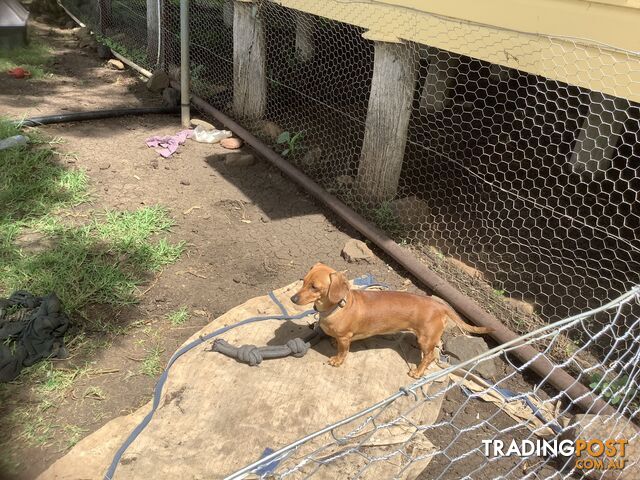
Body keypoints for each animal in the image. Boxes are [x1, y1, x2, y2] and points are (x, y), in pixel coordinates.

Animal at [292, 262, 496, 378]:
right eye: (303, 281)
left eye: (315, 287)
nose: (293, 299)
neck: (338, 307)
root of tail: (440, 306)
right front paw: (333, 342)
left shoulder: (345, 338)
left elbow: (343, 352)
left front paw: (337, 360)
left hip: (425, 339)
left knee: (429, 357)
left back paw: (417, 372)